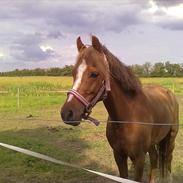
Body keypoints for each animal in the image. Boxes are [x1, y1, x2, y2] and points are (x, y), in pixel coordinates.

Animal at [60, 35, 178, 182]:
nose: (67, 113)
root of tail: (168, 93)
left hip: (171, 137)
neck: (127, 117)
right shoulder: (119, 155)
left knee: (168, 160)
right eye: (73, 73)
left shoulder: (139, 158)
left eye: (94, 74)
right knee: (154, 159)